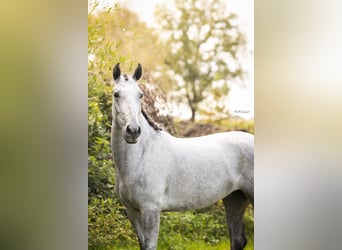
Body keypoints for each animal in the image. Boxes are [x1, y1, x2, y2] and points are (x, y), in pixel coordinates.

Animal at [111, 63, 252, 250]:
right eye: (116, 94)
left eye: (140, 95)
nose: (133, 131)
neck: (141, 156)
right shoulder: (132, 211)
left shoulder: (150, 211)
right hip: (235, 199)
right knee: (238, 240)